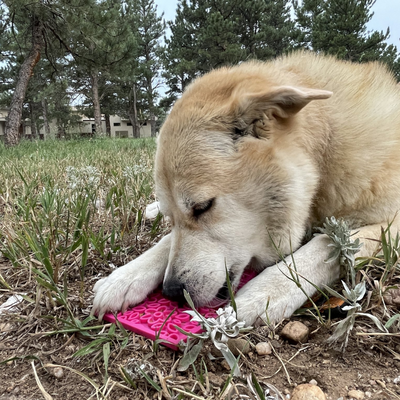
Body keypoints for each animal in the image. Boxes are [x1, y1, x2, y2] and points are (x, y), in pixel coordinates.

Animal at [92, 51, 400, 326]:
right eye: (173, 217)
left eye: (203, 207)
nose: (171, 292)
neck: (325, 152)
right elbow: (168, 241)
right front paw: (126, 276)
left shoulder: (390, 225)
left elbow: (326, 244)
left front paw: (267, 292)